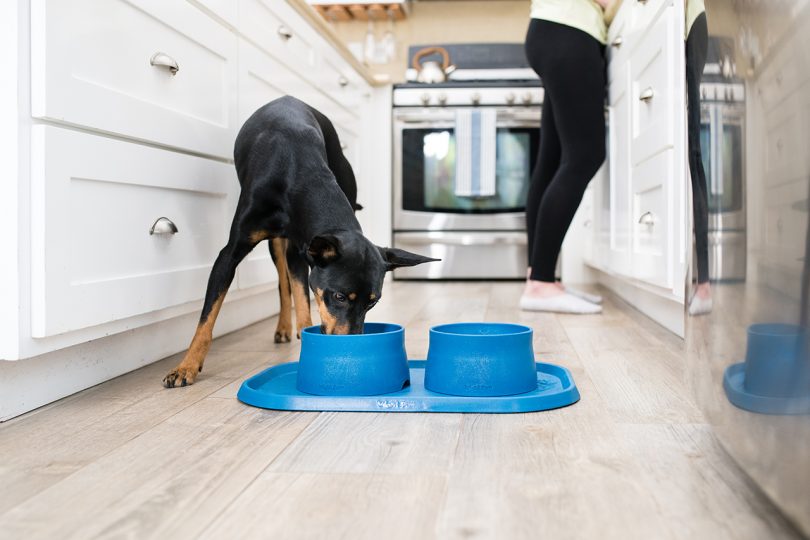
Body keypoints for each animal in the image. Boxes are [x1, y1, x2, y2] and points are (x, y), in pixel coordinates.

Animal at [163, 95, 436, 386]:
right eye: (339, 296)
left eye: (373, 302)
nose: (352, 345)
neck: (295, 169)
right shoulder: (230, 254)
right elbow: (207, 317)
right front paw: (185, 367)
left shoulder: (302, 250)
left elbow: (303, 301)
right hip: (276, 244)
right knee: (282, 282)